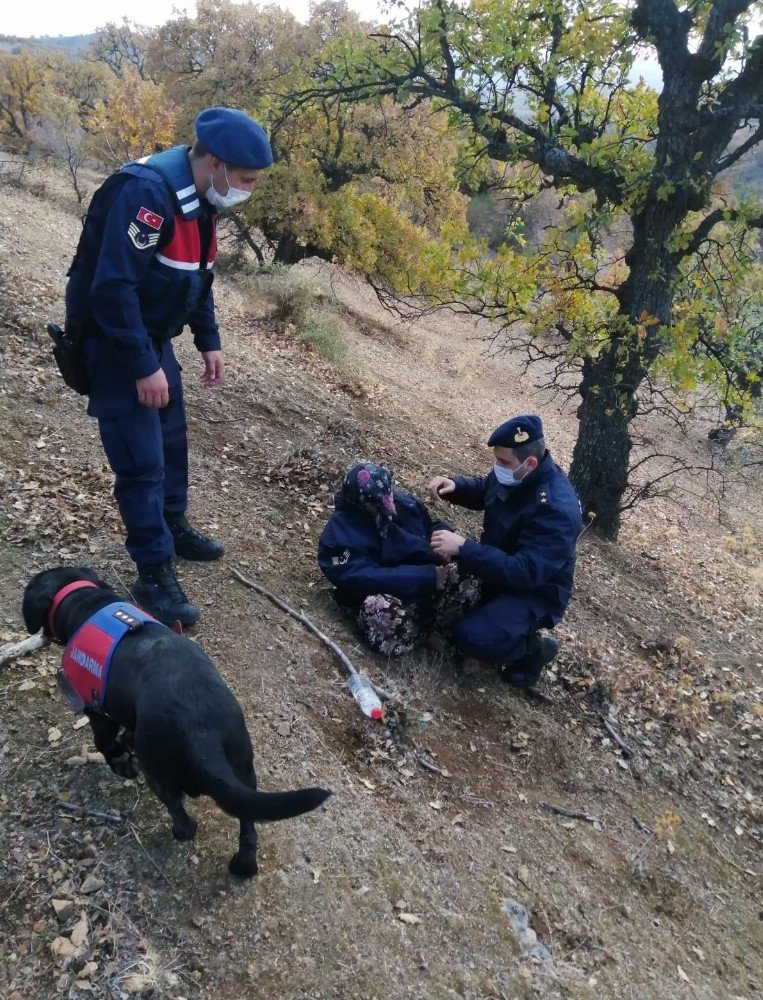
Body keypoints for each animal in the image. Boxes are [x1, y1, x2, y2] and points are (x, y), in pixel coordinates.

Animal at [23, 568, 328, 880]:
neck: (83, 602)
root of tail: (200, 731)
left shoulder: (95, 709)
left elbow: (105, 742)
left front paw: (121, 761)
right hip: (243, 767)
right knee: (248, 825)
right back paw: (243, 866)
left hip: (158, 771)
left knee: (183, 818)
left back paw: (178, 832)